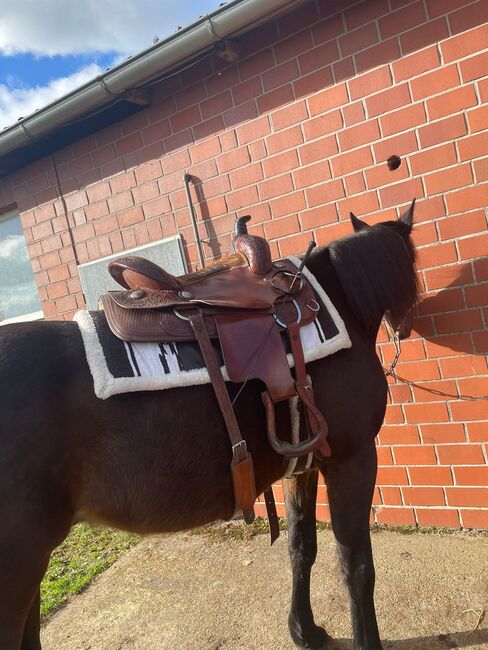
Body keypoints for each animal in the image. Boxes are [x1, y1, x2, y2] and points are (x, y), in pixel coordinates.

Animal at [0, 199, 416, 648]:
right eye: (413, 262)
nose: (408, 323)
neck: (339, 303)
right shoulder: (352, 459)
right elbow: (357, 567)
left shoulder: (301, 464)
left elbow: (301, 547)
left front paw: (304, 631)